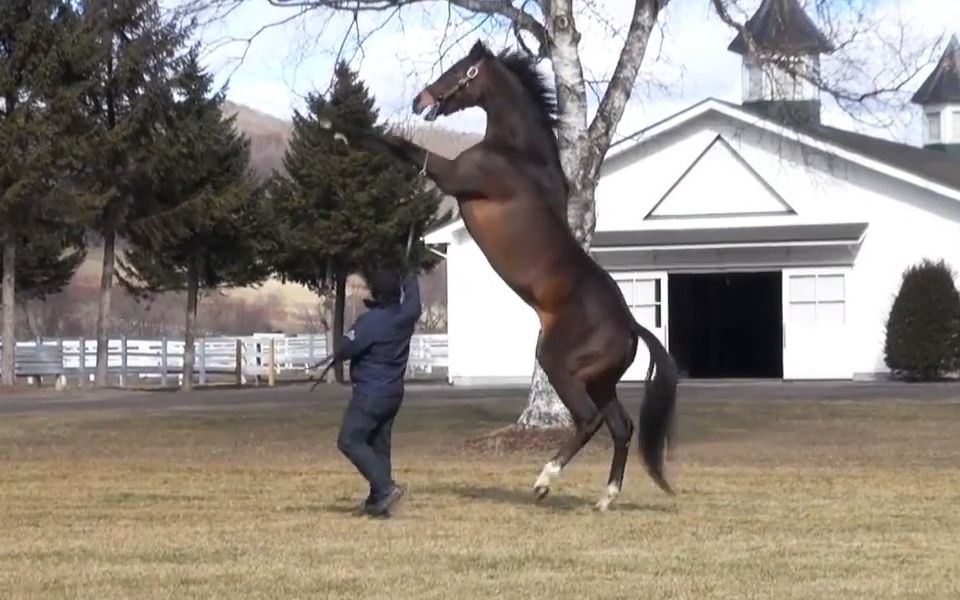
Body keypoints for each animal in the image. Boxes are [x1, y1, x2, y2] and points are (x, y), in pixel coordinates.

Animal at [326, 41, 680, 510]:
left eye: (460, 69)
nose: (421, 100)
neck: (516, 154)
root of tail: (631, 327)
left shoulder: (452, 174)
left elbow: (401, 145)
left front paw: (339, 129)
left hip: (560, 366)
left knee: (588, 422)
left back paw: (544, 480)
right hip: (601, 382)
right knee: (621, 427)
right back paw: (605, 499)